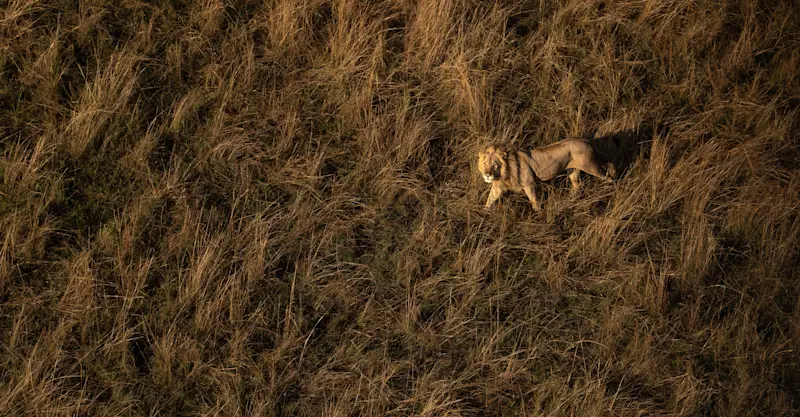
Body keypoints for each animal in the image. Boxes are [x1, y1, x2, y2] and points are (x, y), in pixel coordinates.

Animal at [477, 137, 613, 211]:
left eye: (495, 165)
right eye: (484, 164)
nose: (487, 175)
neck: (505, 173)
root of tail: (586, 140)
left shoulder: (529, 185)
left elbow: (534, 201)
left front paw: (538, 214)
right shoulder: (497, 187)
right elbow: (489, 200)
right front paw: (484, 213)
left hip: (591, 166)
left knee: (608, 178)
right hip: (573, 171)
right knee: (576, 185)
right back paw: (570, 200)